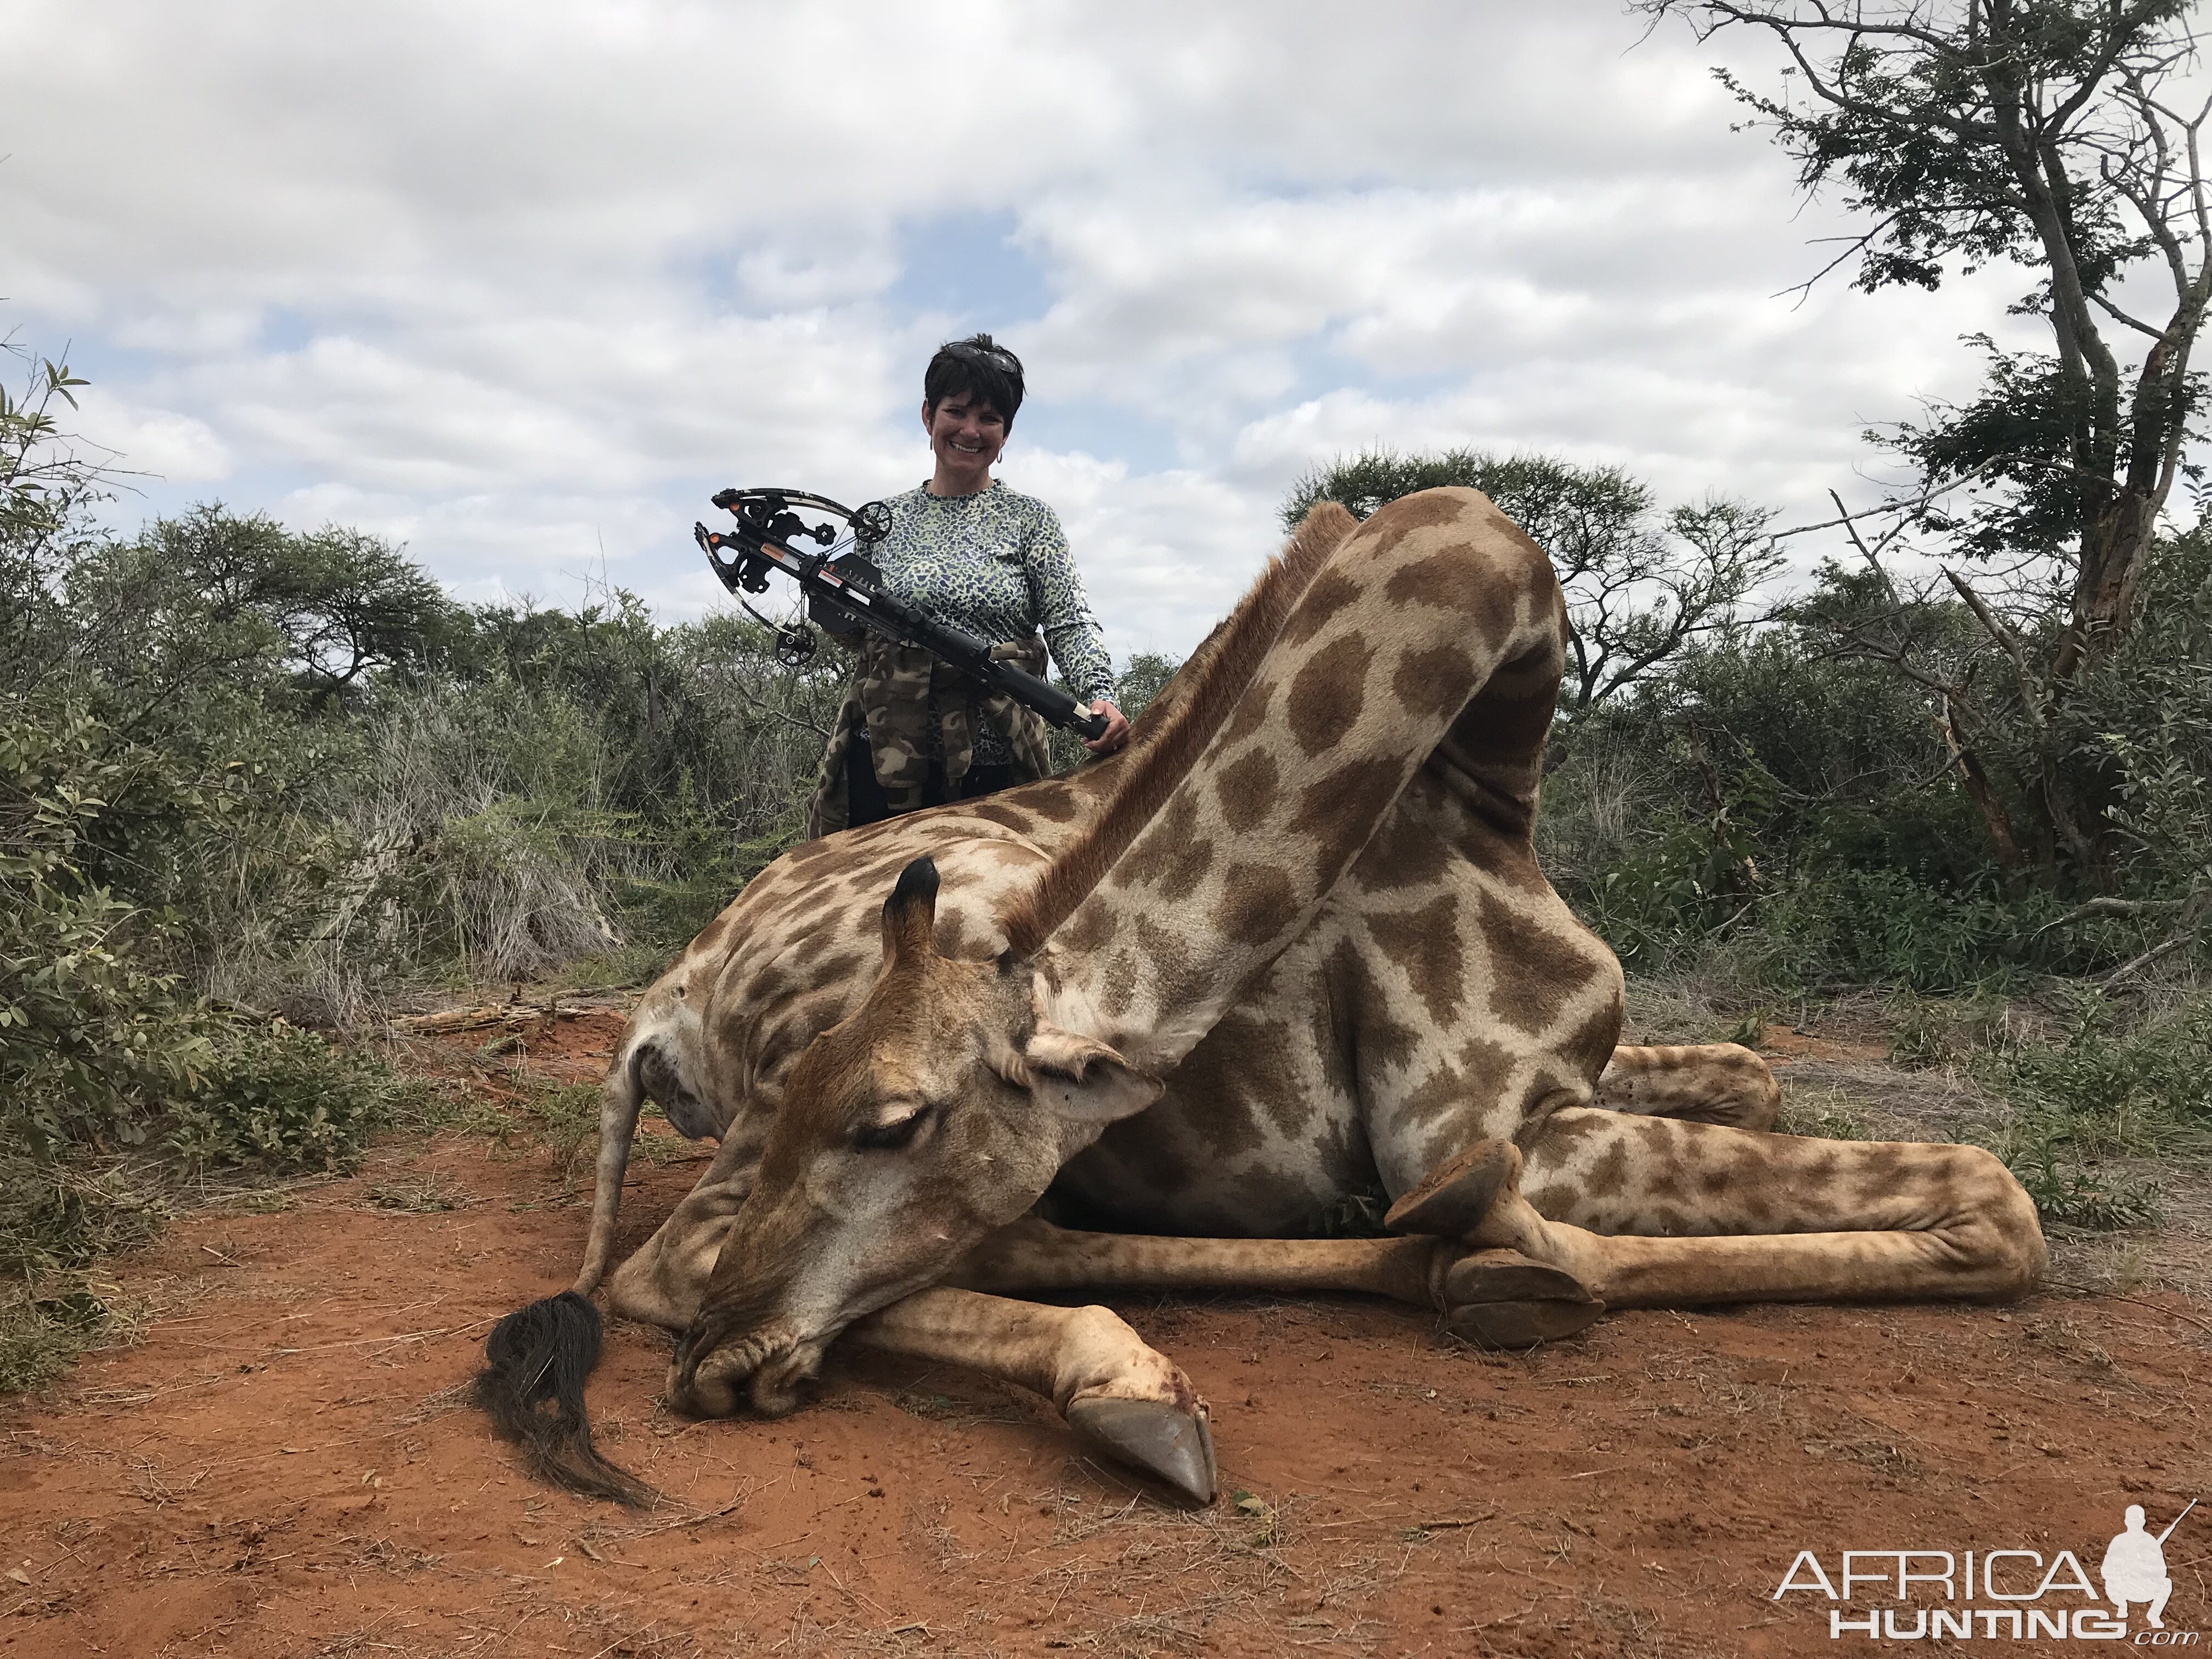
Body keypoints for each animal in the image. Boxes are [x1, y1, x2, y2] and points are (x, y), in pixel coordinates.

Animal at [475, 491, 2044, 1504]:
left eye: (892, 1124)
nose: (718, 1367)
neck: (1495, 783)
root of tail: (665, 1004)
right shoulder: (1481, 1119)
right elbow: (1997, 1196)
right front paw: (1503, 1258)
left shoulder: (1576, 1083)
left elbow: (1774, 1082)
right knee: (669, 1264)